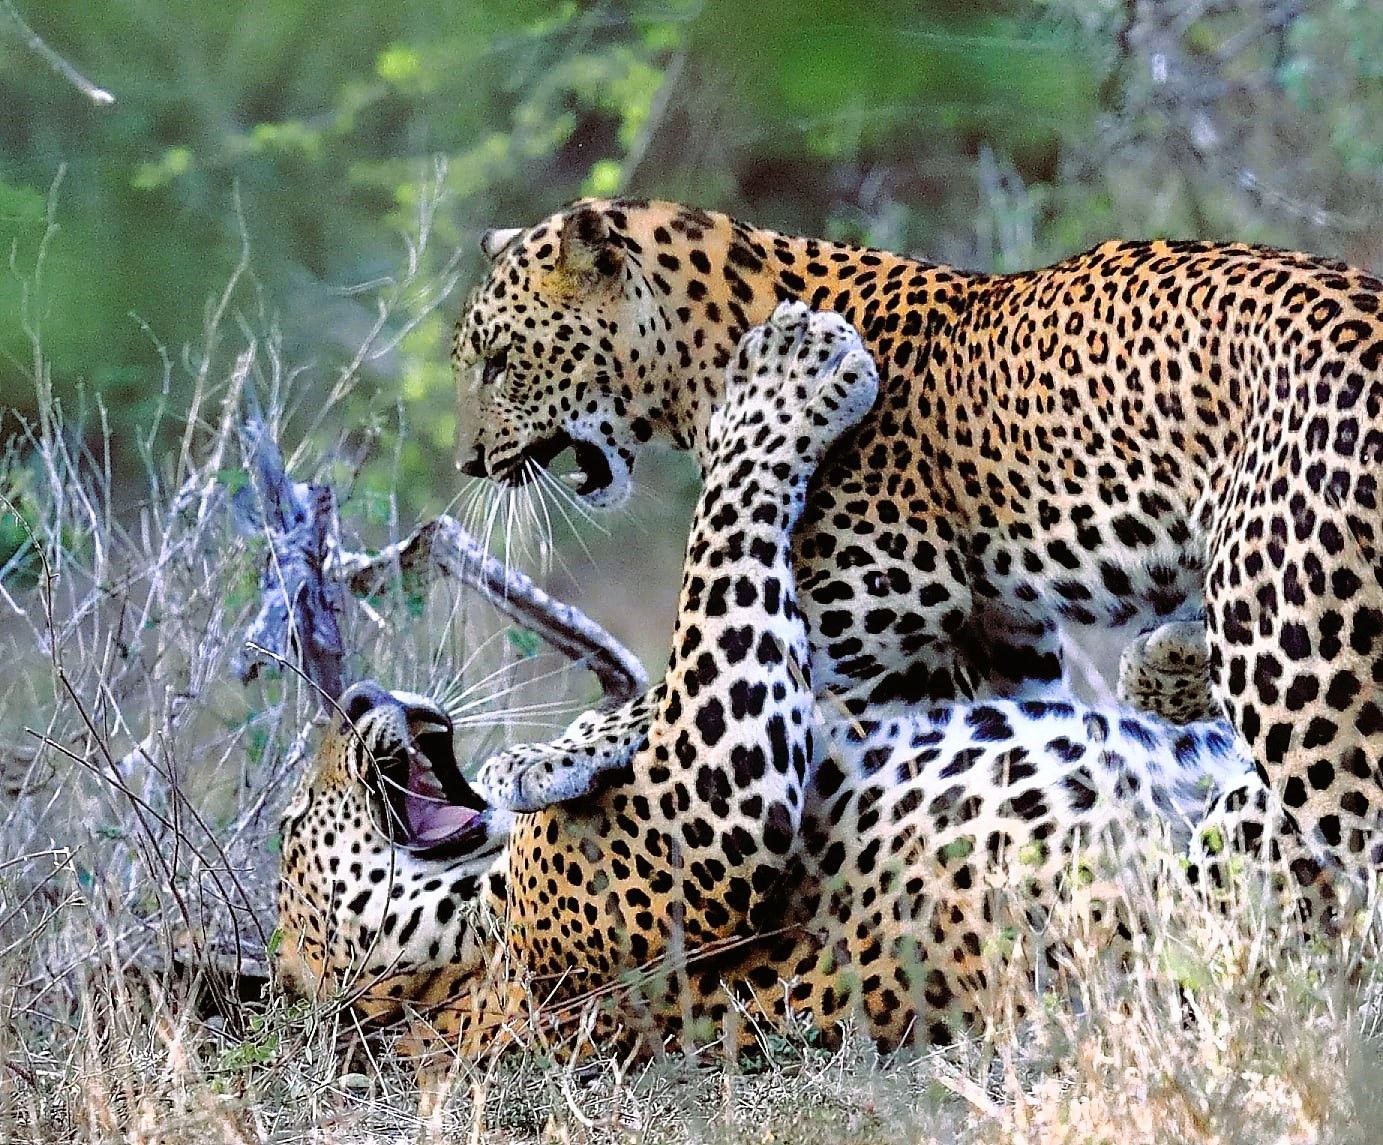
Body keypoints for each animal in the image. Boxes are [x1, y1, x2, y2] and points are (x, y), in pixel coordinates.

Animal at [278, 305, 1276, 1059]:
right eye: (295, 819)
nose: (362, 697)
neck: (467, 954)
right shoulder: (691, 827)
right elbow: (718, 553)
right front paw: (787, 374)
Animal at [452, 198, 1383, 896]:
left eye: (497, 361)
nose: (468, 460)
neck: (707, 356)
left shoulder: (865, 606)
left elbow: (665, 691)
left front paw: (532, 760)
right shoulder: (992, 645)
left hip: (1296, 664)